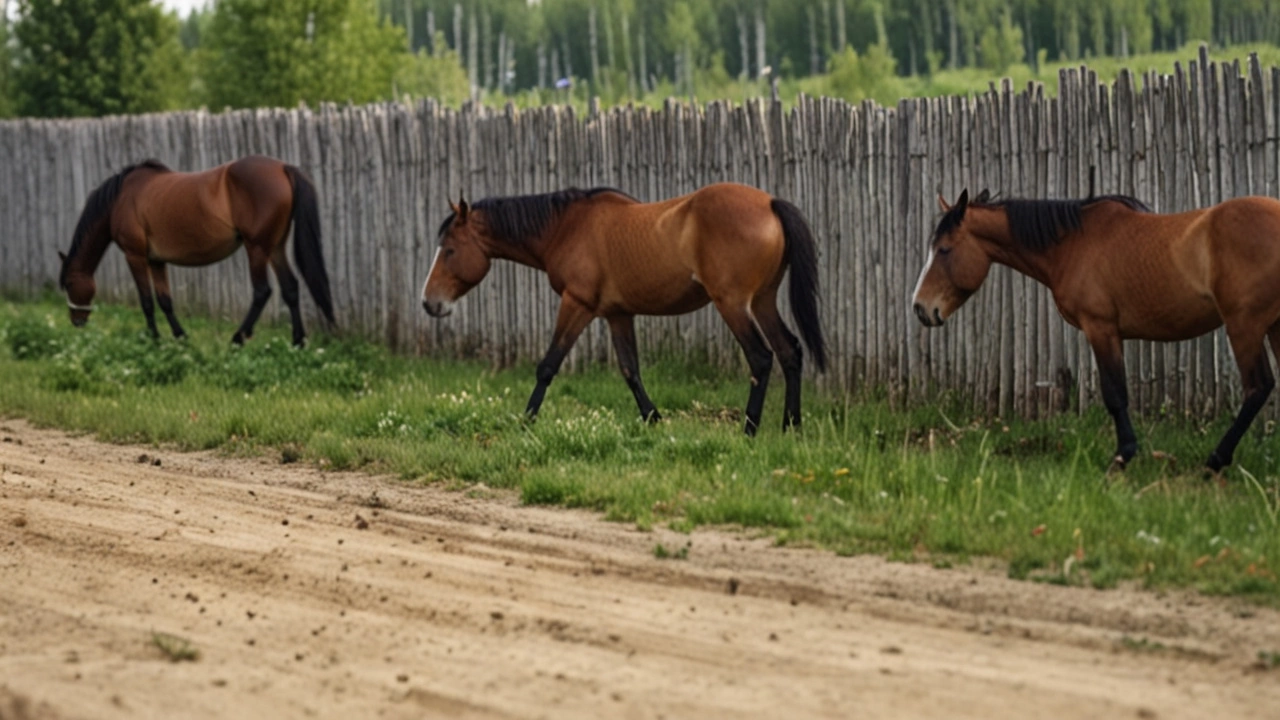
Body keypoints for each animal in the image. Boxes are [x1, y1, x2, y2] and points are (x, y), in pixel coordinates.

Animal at [59, 154, 335, 345]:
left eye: (70, 284)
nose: (76, 321)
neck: (121, 198)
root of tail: (282, 167)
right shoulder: (156, 260)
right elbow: (165, 300)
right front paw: (180, 337)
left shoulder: (134, 256)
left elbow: (147, 301)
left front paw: (154, 339)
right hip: (274, 247)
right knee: (290, 288)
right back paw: (298, 341)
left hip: (256, 248)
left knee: (262, 292)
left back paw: (238, 338)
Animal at [419, 181, 829, 435]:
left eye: (450, 249)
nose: (428, 303)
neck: (565, 227)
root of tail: (770, 203)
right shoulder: (618, 314)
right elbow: (630, 369)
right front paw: (653, 419)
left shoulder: (577, 304)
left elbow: (548, 365)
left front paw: (527, 420)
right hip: (762, 301)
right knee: (789, 352)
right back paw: (792, 426)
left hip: (733, 304)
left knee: (761, 358)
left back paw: (749, 430)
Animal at [911, 188, 1280, 474]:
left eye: (944, 249)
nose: (920, 308)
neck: (1072, 244)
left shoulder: (1100, 329)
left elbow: (1115, 394)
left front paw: (1123, 456)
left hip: (1244, 327)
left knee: (1258, 387)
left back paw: (1216, 460)